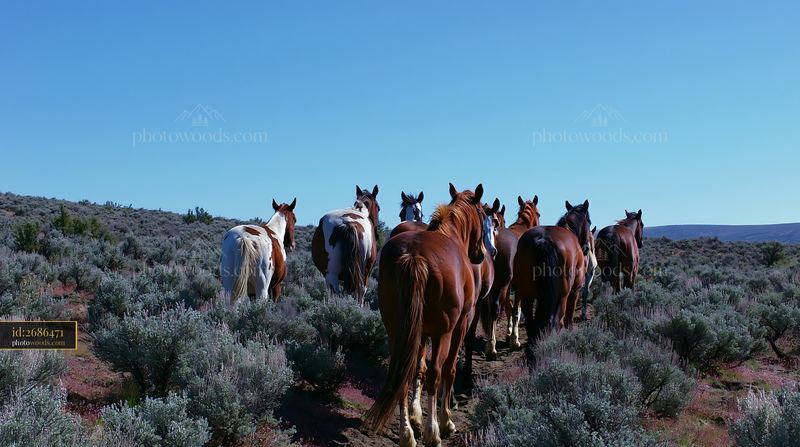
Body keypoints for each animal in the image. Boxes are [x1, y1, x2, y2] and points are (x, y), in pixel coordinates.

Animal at [364, 183, 490, 447]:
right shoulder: (459, 326)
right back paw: (433, 433)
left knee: (402, 376)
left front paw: (415, 416)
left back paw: (407, 434)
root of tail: (412, 255)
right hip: (443, 332)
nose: (481, 254)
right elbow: (448, 370)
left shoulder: (419, 332)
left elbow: (416, 369)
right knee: (436, 373)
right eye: (483, 214)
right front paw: (445, 420)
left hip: (397, 331)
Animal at [485, 195, 540, 355]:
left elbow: (509, 308)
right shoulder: (519, 285)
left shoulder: (510, 286)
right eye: (539, 214)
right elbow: (517, 309)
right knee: (496, 309)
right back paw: (491, 347)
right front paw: (514, 340)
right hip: (501, 285)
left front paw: (509, 333)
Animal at [513, 200, 591, 365]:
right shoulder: (575, 291)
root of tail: (543, 240)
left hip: (527, 293)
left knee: (531, 322)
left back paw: (533, 347)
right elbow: (568, 318)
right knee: (555, 321)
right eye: (589, 221)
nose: (587, 248)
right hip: (562, 295)